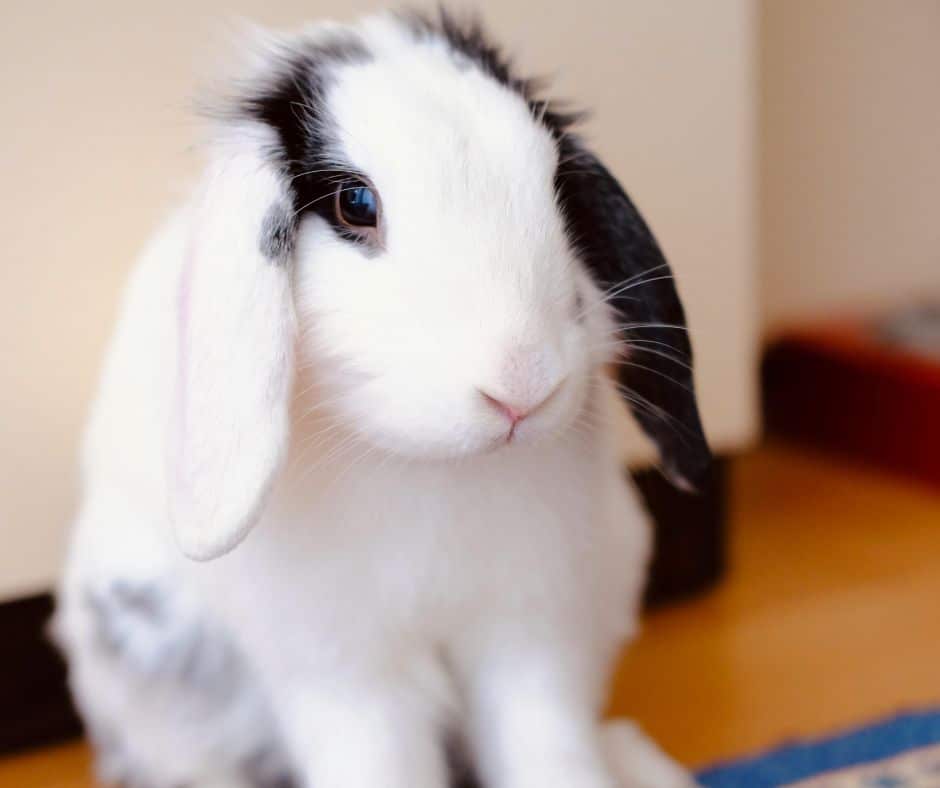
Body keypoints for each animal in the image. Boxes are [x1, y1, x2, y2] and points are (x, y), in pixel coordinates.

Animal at [53, 9, 711, 788]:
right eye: (355, 204)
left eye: (556, 186)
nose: (522, 385)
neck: (433, 470)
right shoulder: (348, 676)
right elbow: (383, 759)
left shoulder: (532, 633)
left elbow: (547, 746)